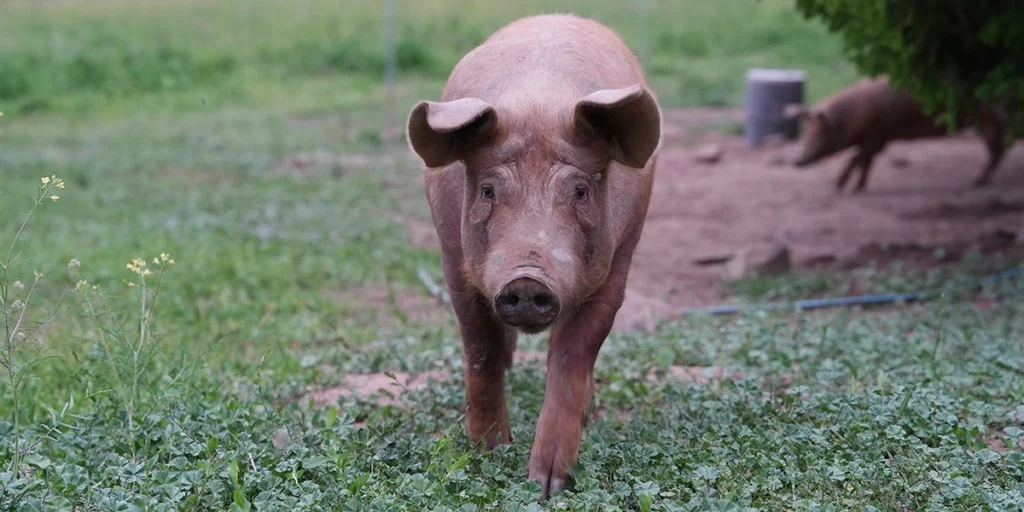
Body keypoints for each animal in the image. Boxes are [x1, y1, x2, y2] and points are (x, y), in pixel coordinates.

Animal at [405, 14, 661, 498]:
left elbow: (571, 355)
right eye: (488, 189)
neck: (538, 101)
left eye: (580, 191)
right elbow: (481, 349)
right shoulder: (455, 264)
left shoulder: (616, 266)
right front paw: (488, 453)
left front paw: (548, 484)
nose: (526, 279)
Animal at [786, 76, 1007, 192]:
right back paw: (980, 182)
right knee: (999, 151)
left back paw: (976, 183)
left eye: (819, 134)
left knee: (997, 151)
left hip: (989, 119)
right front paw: (859, 188)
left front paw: (839, 187)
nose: (796, 161)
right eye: (806, 133)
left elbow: (856, 158)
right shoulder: (875, 140)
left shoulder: (877, 138)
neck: (855, 115)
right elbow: (865, 162)